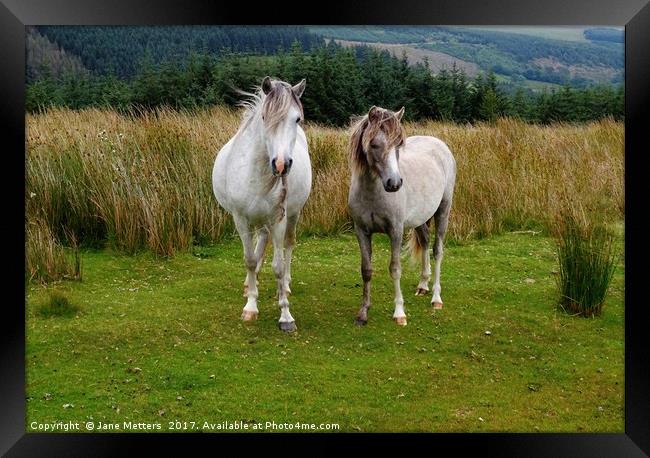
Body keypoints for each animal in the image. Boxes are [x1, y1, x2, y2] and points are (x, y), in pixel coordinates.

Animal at [211, 76, 310, 332]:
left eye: (297, 118)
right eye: (265, 117)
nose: (281, 165)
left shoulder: (279, 219)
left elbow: (277, 266)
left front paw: (285, 315)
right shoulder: (241, 219)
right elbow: (249, 259)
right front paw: (250, 307)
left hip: (292, 215)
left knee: (288, 246)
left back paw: (285, 284)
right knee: (260, 246)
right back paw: (250, 284)